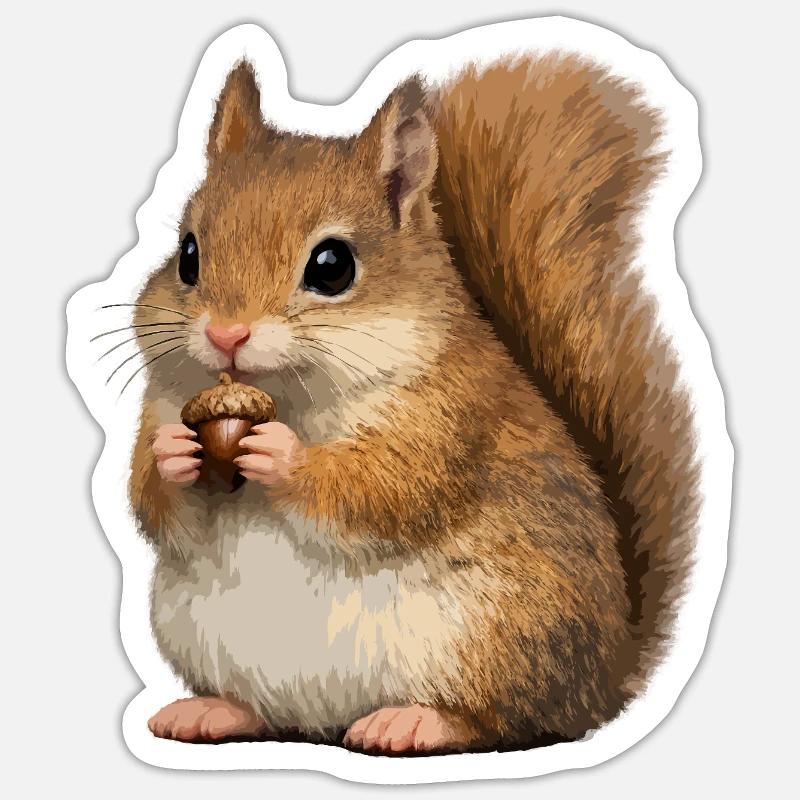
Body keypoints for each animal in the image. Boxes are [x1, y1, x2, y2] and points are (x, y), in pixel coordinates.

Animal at [127, 54, 697, 754]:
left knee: (507, 720)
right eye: (187, 254)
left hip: (499, 634)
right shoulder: (162, 402)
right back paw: (213, 711)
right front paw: (173, 456)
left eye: (332, 265)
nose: (226, 335)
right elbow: (154, 502)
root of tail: (605, 675)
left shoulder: (449, 417)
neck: (293, 396)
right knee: (267, 713)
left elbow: (385, 488)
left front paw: (283, 456)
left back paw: (415, 721)